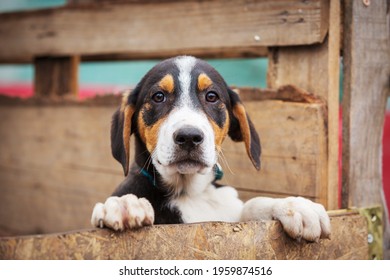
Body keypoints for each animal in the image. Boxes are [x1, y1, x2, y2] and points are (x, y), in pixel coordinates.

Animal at [90, 55, 330, 242]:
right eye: (158, 96)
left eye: (211, 96)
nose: (189, 137)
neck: (189, 192)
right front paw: (125, 204)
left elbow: (251, 205)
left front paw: (294, 206)